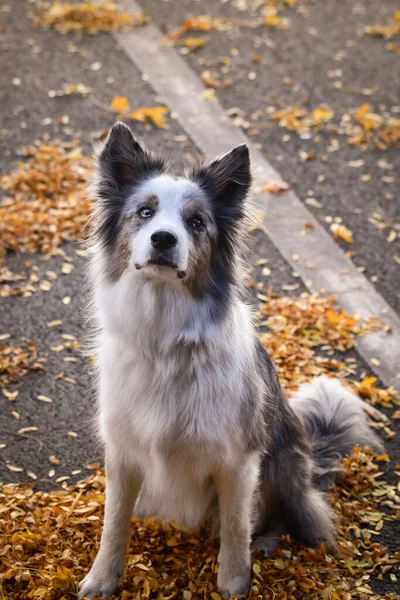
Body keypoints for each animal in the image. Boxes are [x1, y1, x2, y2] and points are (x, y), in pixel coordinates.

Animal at [77, 119, 382, 596]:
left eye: (196, 221)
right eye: (144, 212)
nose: (163, 239)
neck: (167, 340)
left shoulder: (238, 460)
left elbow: (236, 527)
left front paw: (235, 582)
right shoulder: (123, 452)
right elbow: (114, 522)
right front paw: (103, 578)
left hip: (282, 463)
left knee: (282, 518)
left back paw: (269, 543)